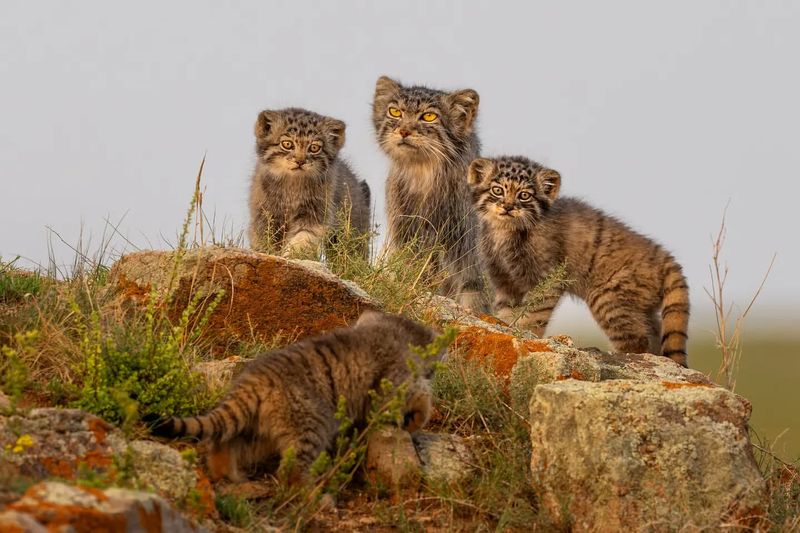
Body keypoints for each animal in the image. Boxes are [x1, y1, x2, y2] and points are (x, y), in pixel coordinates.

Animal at [147, 312, 440, 482]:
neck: (393, 330)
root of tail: (257, 378)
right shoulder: (394, 383)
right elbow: (416, 399)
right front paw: (417, 419)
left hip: (258, 428)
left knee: (223, 444)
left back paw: (229, 477)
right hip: (310, 424)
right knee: (291, 472)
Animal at [247, 107, 372, 256]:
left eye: (314, 148)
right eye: (287, 144)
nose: (300, 161)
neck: (293, 186)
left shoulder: (316, 212)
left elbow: (304, 237)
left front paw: (293, 254)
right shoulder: (265, 213)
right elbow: (265, 239)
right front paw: (268, 252)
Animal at [468, 155, 688, 366]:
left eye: (524, 195)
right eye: (497, 190)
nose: (508, 207)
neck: (503, 231)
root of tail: (664, 257)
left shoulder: (548, 280)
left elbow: (534, 316)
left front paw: (526, 337)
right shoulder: (505, 281)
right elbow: (507, 313)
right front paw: (504, 331)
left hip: (608, 298)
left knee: (638, 340)